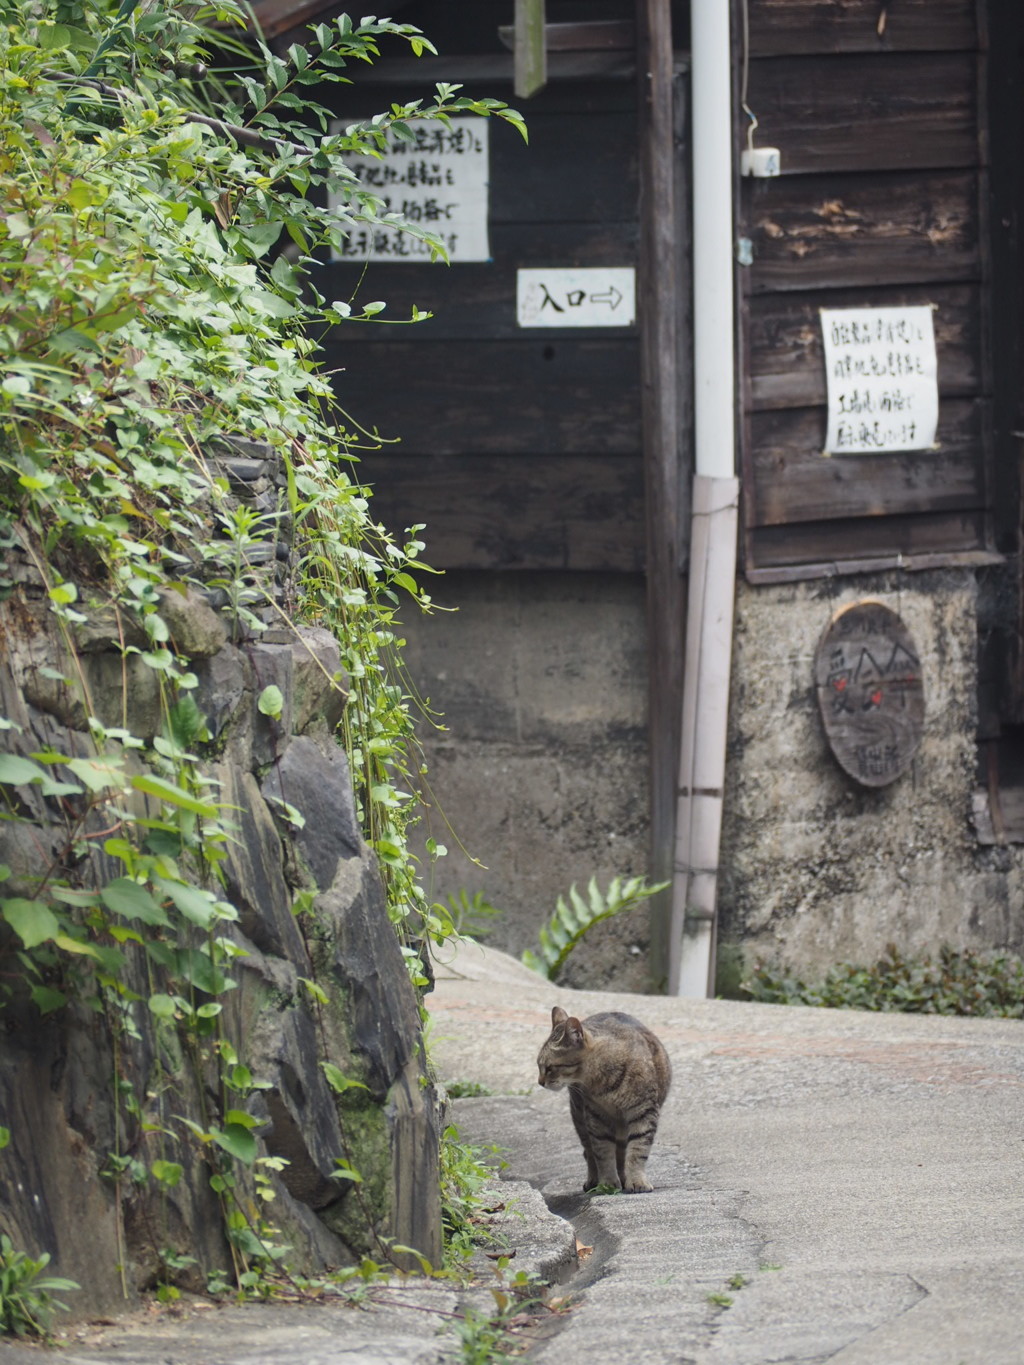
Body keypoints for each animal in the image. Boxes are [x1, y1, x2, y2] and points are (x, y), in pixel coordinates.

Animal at [537, 1004, 674, 1195]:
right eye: (539, 1066)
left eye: (549, 1068)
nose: (540, 1082)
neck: (602, 1081)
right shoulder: (596, 1117)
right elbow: (603, 1154)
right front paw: (608, 1183)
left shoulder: (644, 1112)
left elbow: (638, 1150)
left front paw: (637, 1181)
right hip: (580, 1118)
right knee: (589, 1152)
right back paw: (594, 1180)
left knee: (621, 1151)